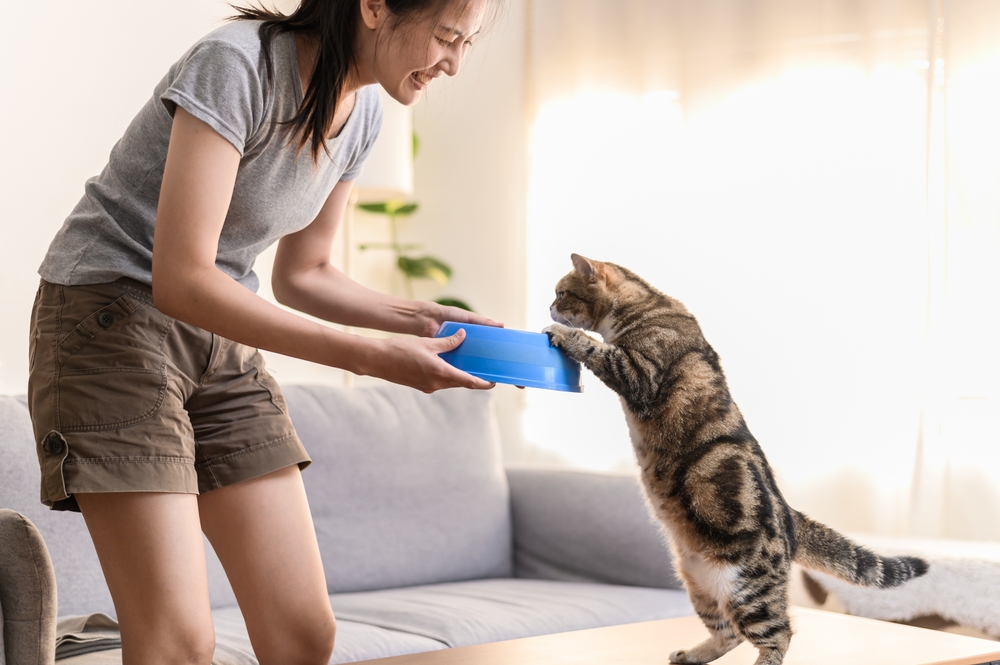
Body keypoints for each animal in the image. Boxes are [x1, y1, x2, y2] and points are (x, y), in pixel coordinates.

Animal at [548, 254, 928, 664]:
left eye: (561, 293)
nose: (549, 306)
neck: (649, 305)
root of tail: (789, 514)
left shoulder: (640, 373)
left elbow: (597, 351)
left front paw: (561, 333)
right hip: (699, 582)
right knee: (728, 632)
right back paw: (692, 655)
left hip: (747, 589)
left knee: (778, 633)